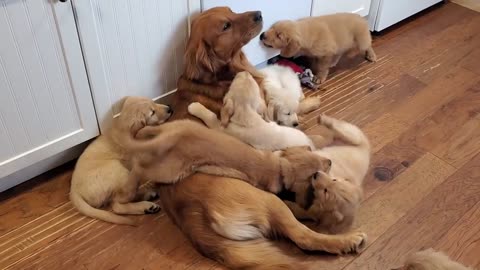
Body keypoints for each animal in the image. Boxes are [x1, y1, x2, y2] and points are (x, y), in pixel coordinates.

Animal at [69, 96, 171, 225]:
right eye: (152, 112)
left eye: (154, 102)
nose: (170, 108)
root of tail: (74, 191)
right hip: (117, 169)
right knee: (118, 204)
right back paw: (146, 202)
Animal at [188, 71, 334, 151]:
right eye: (251, 81)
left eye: (235, 82)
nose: (244, 72)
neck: (246, 114)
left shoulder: (221, 129)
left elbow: (211, 116)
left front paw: (194, 106)